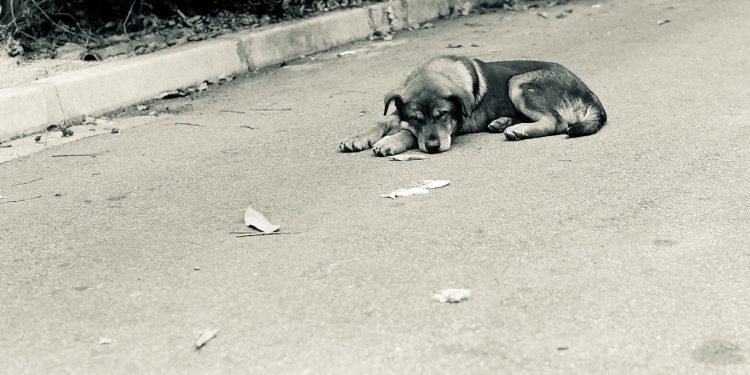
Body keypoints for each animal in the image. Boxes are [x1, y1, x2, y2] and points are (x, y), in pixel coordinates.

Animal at [338, 54, 608, 156]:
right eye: (416, 118)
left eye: (443, 115)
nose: (434, 148)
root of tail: (588, 91)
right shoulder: (400, 111)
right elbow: (383, 121)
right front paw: (358, 138)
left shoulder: (454, 126)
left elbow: (408, 134)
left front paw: (390, 142)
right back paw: (503, 122)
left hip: (518, 83)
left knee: (556, 121)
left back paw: (517, 130)